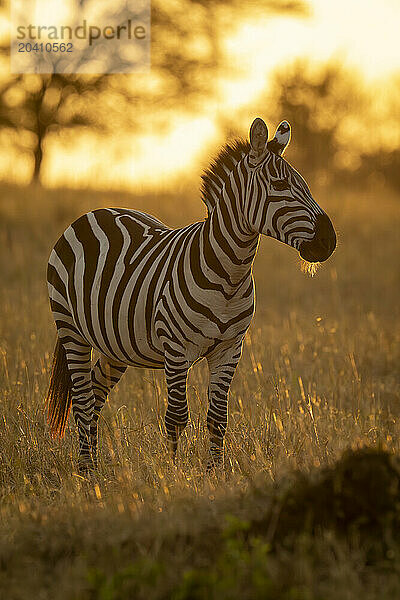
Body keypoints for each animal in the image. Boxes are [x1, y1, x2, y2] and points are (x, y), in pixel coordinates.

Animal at [45, 117, 336, 472]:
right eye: (280, 185)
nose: (329, 241)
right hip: (70, 328)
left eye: (304, 184)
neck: (230, 275)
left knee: (96, 392)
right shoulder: (175, 350)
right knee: (84, 400)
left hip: (116, 343)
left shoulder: (229, 349)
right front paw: (172, 474)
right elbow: (176, 417)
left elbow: (218, 418)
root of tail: (95, 212)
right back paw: (87, 472)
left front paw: (215, 473)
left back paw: (95, 467)